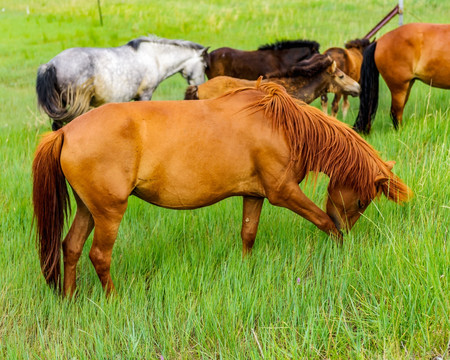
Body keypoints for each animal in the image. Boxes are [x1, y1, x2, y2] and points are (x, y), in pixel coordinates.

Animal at [31, 83, 412, 296]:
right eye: (362, 200)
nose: (351, 227)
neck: (281, 125)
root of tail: (64, 132)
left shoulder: (254, 195)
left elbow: (248, 235)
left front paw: (245, 271)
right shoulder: (283, 193)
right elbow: (323, 221)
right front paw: (338, 247)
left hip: (89, 208)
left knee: (71, 247)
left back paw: (70, 299)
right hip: (109, 212)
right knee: (99, 255)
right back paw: (113, 299)